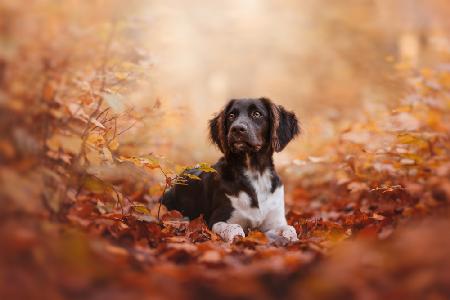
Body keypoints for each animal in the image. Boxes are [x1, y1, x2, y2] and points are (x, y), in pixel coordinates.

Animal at [162, 97, 298, 243]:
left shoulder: (275, 222)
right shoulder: (217, 219)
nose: (237, 128)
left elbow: (290, 228)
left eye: (257, 114)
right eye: (231, 116)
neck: (255, 173)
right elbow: (234, 228)